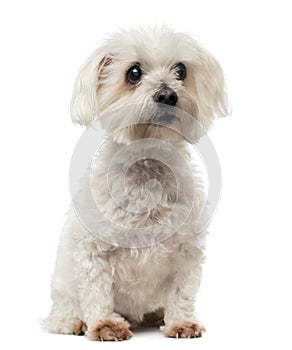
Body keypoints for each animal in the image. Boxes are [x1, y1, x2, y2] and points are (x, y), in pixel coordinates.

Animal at [42, 28, 228, 342]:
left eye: (181, 70)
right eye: (134, 73)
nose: (167, 94)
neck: (147, 170)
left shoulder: (187, 251)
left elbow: (182, 292)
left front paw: (181, 322)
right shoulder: (94, 250)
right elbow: (97, 290)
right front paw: (105, 324)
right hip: (62, 289)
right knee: (64, 308)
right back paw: (72, 322)